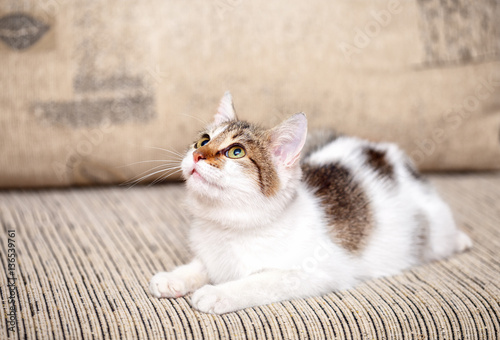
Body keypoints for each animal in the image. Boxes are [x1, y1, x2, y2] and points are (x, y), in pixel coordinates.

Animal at [149, 91, 472, 314]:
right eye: (203, 140)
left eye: (236, 151)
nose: (196, 155)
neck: (230, 225)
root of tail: (389, 154)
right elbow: (202, 264)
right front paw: (176, 277)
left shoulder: (315, 273)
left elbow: (262, 281)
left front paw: (219, 293)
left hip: (432, 228)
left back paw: (460, 240)